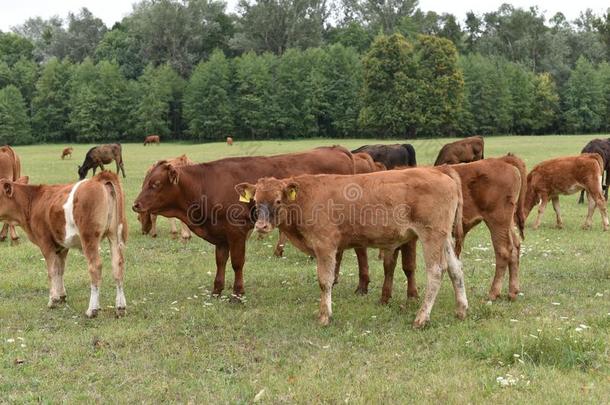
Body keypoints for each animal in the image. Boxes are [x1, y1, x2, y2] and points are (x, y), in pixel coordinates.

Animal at [0, 170, 127, 316]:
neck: (33, 202)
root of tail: (98, 179)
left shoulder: (46, 243)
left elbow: (52, 271)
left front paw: (53, 300)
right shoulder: (61, 246)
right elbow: (60, 269)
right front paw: (61, 296)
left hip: (89, 237)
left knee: (95, 267)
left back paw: (92, 309)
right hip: (114, 235)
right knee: (117, 265)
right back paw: (120, 307)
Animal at [131, 145, 354, 296]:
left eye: (155, 184)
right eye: (146, 182)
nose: (135, 205)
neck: (205, 185)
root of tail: (336, 149)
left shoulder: (236, 231)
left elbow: (237, 262)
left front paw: (237, 293)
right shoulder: (220, 234)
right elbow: (220, 261)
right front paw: (217, 290)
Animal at [235, 167, 464, 328]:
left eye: (278, 200)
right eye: (255, 200)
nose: (261, 226)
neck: (305, 198)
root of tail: (438, 170)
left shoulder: (325, 245)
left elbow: (325, 281)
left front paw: (325, 316)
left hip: (431, 235)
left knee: (436, 272)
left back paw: (421, 318)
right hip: (444, 238)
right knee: (456, 269)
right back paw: (461, 310)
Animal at [370, 155, 528, 304]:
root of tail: (502, 160)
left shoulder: (408, 239)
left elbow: (408, 266)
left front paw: (412, 296)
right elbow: (389, 266)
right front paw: (384, 298)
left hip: (497, 222)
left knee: (503, 251)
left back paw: (494, 293)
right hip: (507, 225)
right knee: (515, 247)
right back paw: (512, 292)